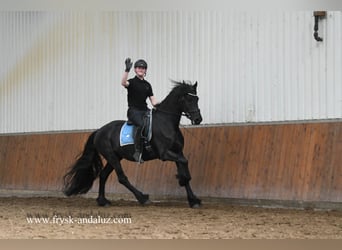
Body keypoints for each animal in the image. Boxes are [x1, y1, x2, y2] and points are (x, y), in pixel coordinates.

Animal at [63, 80, 203, 207]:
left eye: (197, 99)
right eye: (188, 100)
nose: (198, 119)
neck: (167, 123)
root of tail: (99, 131)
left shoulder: (177, 152)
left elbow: (184, 165)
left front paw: (193, 200)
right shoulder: (165, 154)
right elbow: (184, 165)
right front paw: (183, 181)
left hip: (115, 156)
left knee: (103, 175)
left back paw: (103, 201)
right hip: (111, 156)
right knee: (122, 178)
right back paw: (142, 198)